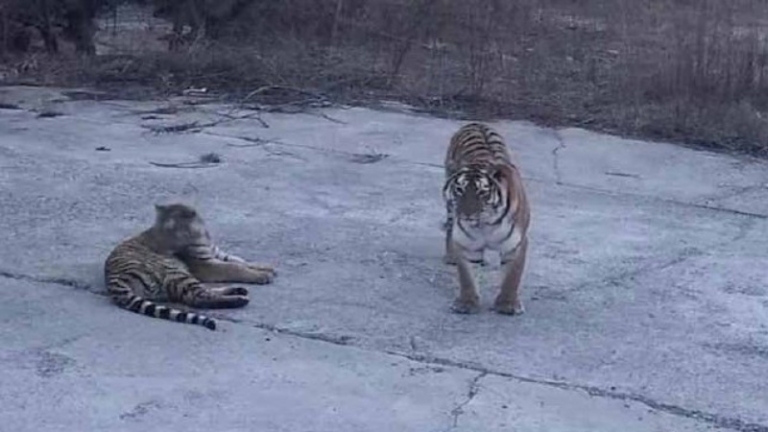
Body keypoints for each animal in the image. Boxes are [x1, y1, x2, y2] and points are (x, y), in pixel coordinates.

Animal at [104, 203, 276, 331]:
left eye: (168, 229)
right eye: (157, 226)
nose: (154, 247)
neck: (202, 236)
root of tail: (113, 279)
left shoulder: (216, 253)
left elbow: (239, 260)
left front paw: (267, 267)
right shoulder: (205, 266)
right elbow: (233, 268)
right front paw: (263, 275)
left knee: (203, 293)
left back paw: (238, 290)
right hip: (176, 272)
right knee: (198, 297)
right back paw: (239, 299)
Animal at [442, 122, 531, 315]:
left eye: (482, 192)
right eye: (459, 189)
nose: (466, 214)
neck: (486, 224)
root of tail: (475, 123)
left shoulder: (516, 245)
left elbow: (513, 276)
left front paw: (508, 304)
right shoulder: (466, 243)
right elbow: (466, 276)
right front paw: (467, 303)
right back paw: (451, 256)